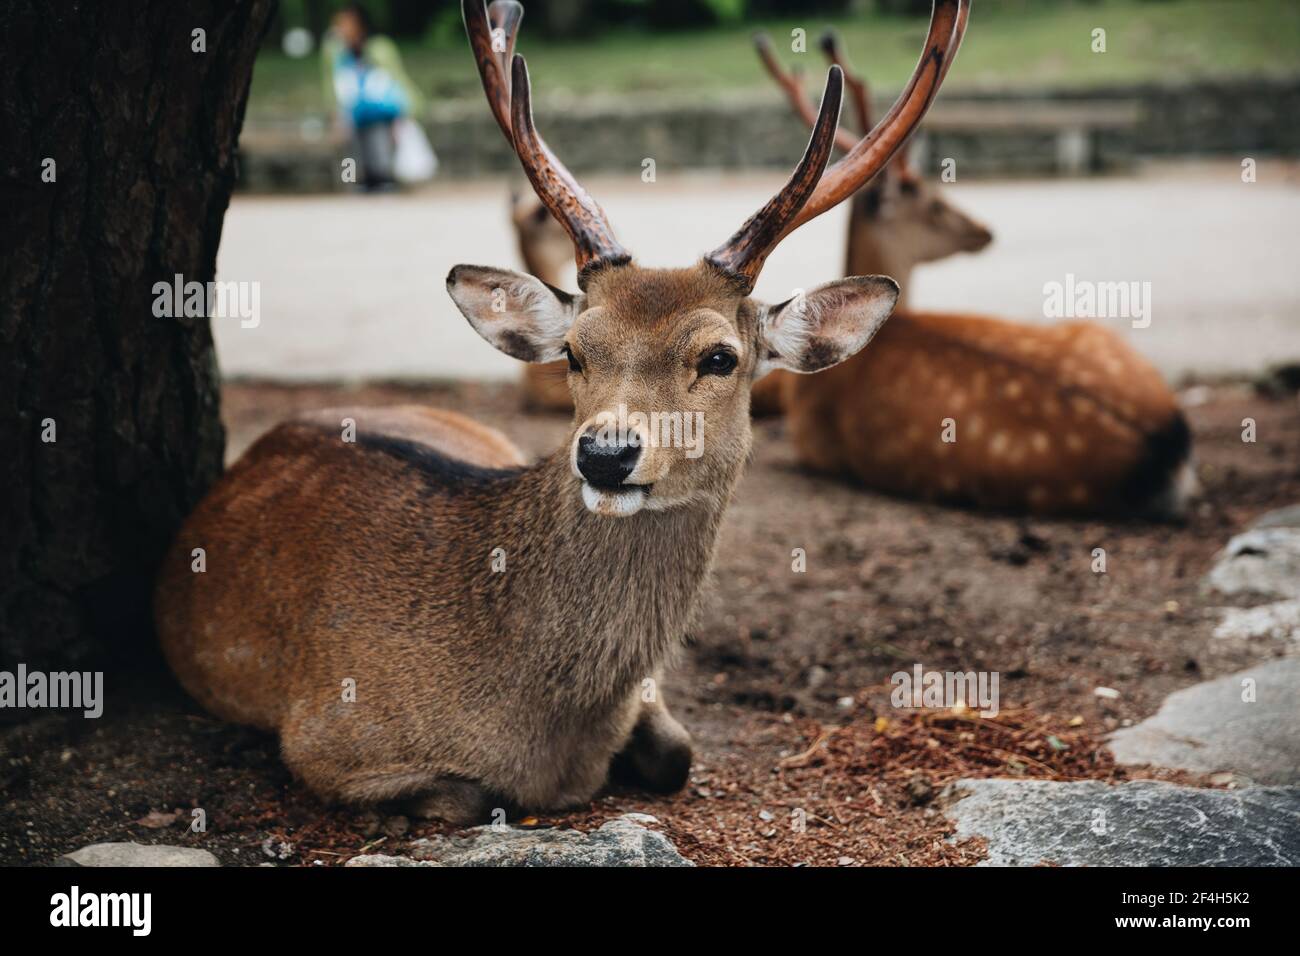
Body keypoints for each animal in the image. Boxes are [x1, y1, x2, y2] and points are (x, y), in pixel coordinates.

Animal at [149, 0, 967, 822]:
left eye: (719, 357)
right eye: (573, 351)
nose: (605, 453)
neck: (547, 726)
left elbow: (679, 753)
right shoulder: (321, 736)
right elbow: (466, 797)